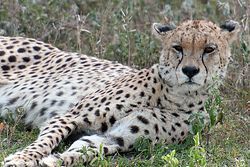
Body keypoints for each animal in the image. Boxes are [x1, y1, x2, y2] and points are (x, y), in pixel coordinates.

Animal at [1, 19, 240, 166]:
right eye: (177, 47)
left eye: (209, 49)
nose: (190, 71)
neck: (175, 97)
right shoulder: (69, 116)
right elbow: (45, 142)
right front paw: (22, 158)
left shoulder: (116, 138)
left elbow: (84, 150)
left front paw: (53, 160)